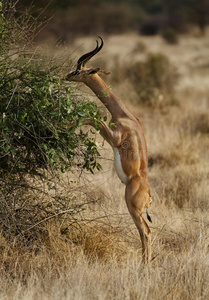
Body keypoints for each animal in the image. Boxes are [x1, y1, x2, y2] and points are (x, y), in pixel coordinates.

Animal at [66, 37, 153, 262]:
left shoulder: (114, 137)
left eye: (78, 70)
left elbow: (92, 118)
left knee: (146, 232)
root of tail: (149, 194)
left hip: (133, 208)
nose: (67, 75)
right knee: (146, 233)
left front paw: (69, 124)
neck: (124, 115)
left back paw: (144, 266)